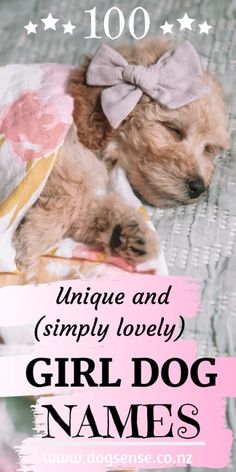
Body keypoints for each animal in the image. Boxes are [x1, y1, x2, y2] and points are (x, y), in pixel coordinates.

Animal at [14, 38, 229, 272]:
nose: (198, 187)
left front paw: (121, 232)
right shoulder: (50, 147)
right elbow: (77, 182)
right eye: (173, 129)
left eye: (208, 148)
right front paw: (37, 235)